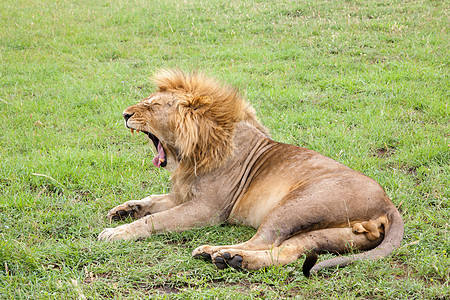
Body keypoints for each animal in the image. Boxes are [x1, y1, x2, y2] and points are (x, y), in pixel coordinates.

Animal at [99, 69, 404, 276]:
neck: (192, 151)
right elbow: (152, 201)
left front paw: (116, 232)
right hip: (333, 234)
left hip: (296, 204)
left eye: (152, 105)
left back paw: (217, 253)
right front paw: (124, 210)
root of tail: (388, 204)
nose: (125, 114)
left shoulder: (208, 209)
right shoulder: (184, 195)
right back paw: (234, 260)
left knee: (263, 240)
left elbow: (156, 220)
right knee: (284, 252)